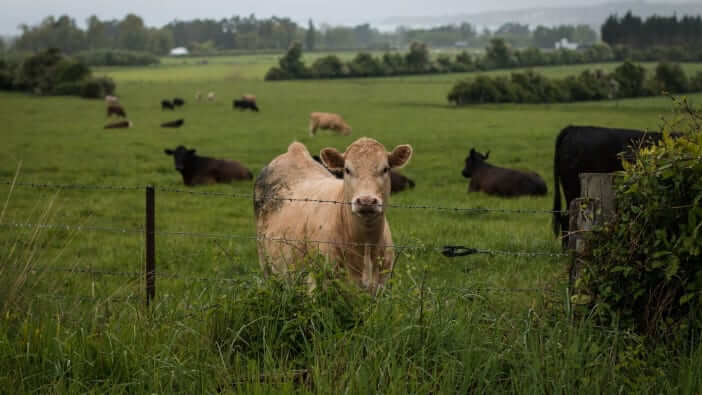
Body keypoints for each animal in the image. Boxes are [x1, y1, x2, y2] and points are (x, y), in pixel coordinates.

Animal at [256, 138, 416, 294]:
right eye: (347, 169)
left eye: (385, 169)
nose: (366, 201)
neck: (365, 245)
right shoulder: (316, 281)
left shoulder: (381, 283)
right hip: (265, 262)